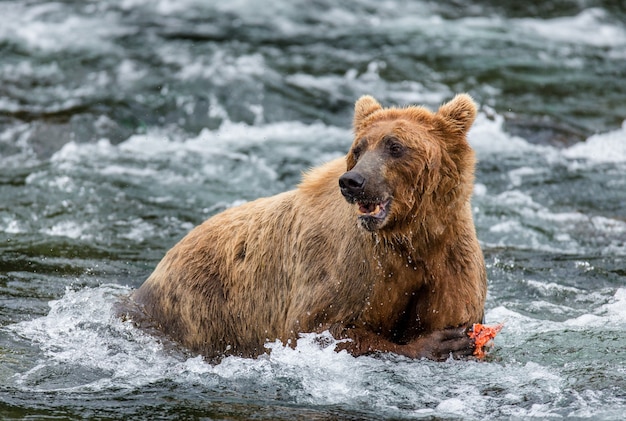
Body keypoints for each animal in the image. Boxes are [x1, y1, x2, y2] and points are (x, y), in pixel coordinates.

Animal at [125, 93, 488, 360]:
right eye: (359, 148)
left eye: (395, 146)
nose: (353, 181)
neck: (407, 236)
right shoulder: (349, 267)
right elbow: (318, 330)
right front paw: (438, 343)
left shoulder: (448, 259)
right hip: (200, 307)